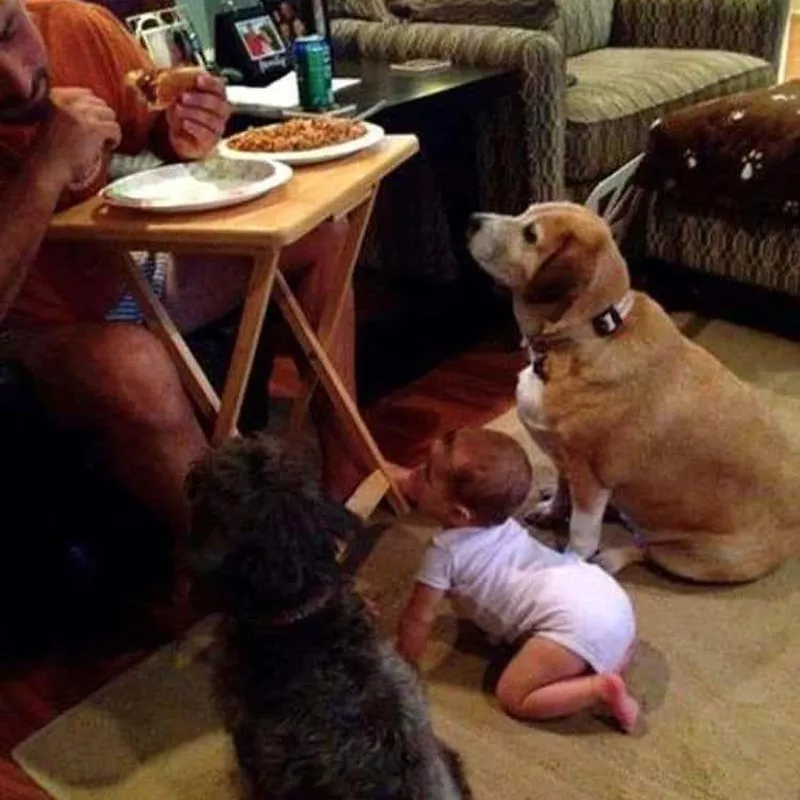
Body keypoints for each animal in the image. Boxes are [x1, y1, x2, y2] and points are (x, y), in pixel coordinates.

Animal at [466, 203, 796, 584]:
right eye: (524, 212)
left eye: (531, 235)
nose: (472, 220)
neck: (587, 334)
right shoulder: (566, 458)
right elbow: (563, 490)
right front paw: (551, 510)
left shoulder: (590, 476)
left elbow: (582, 533)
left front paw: (573, 561)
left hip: (699, 557)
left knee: (646, 549)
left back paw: (612, 557)